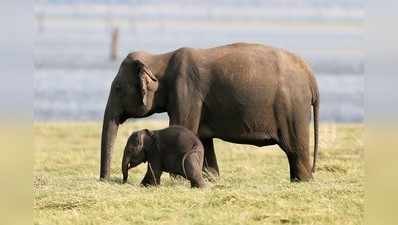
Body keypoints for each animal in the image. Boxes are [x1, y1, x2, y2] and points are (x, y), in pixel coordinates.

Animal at [100, 42, 320, 182]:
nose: (106, 180)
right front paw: (211, 178)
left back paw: (303, 181)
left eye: (118, 88)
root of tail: (311, 77)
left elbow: (183, 127)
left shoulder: (186, 92)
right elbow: (201, 137)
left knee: (295, 149)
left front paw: (179, 181)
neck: (160, 58)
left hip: (293, 109)